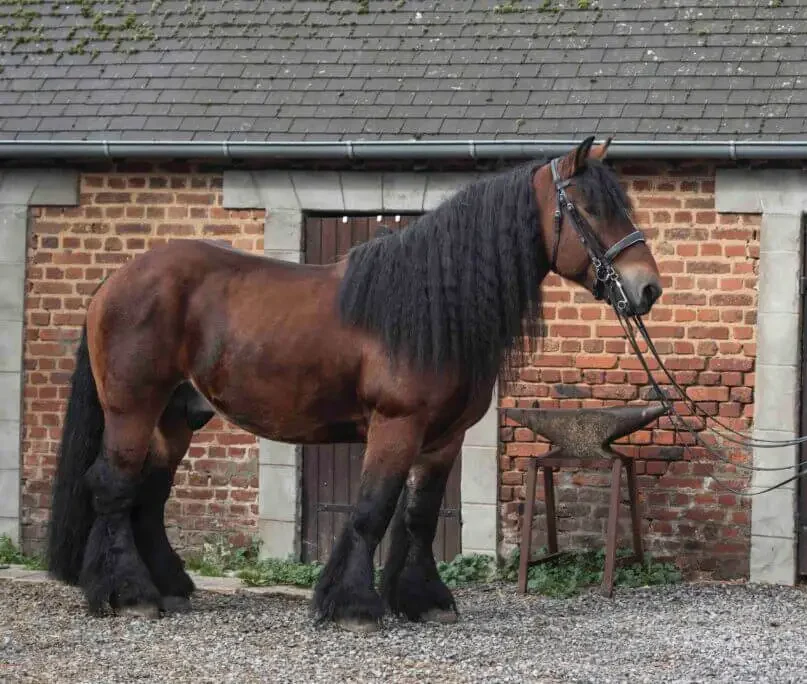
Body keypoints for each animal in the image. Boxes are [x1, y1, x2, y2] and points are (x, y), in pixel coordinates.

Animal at [45, 136, 663, 633]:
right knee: (113, 488)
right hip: (132, 408)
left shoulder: (444, 439)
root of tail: (115, 282)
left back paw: (168, 589)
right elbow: (372, 509)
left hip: (176, 416)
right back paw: (130, 596)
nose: (647, 288)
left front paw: (425, 600)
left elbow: (418, 517)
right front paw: (354, 607)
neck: (429, 309)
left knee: (147, 495)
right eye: (588, 208)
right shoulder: (396, 427)